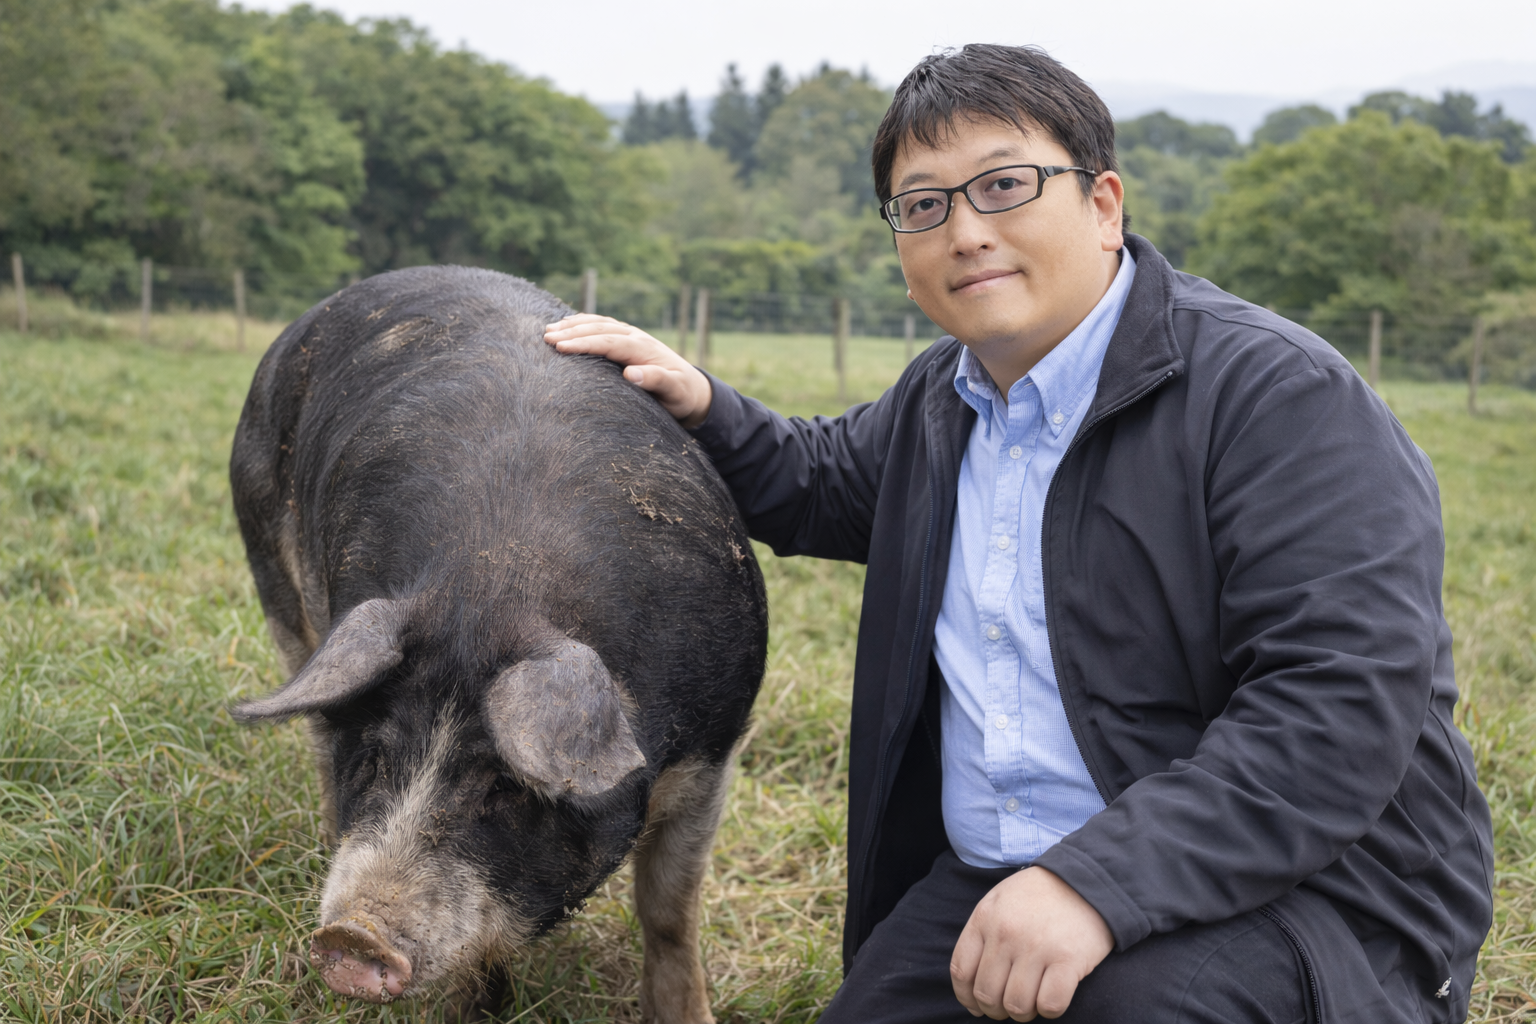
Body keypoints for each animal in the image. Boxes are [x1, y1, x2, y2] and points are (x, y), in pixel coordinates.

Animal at [228, 266, 768, 1022]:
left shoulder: (712, 755)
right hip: (281, 588)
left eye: (504, 786)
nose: (352, 938)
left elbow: (668, 910)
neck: (498, 583)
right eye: (375, 757)